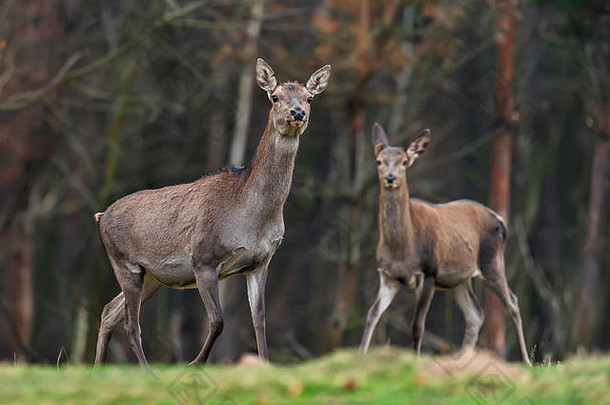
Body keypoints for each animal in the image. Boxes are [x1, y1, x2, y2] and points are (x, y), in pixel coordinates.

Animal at [93, 58, 330, 364]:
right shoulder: (204, 259)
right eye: (275, 96)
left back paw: (98, 367)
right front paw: (194, 364)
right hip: (125, 263)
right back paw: (146, 370)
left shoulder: (261, 262)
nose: (297, 112)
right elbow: (218, 321)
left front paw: (264, 363)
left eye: (310, 97)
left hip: (152, 276)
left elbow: (259, 320)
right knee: (131, 325)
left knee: (109, 311)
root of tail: (100, 217)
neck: (252, 218)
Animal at [356, 121, 528, 364]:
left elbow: (418, 325)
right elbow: (372, 314)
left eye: (404, 162)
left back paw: (527, 360)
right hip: (458, 278)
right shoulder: (388, 275)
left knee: (512, 302)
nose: (390, 178)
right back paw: (461, 358)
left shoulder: (429, 272)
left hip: (492, 262)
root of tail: (500, 221)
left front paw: (415, 358)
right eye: (379, 161)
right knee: (476, 313)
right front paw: (359, 355)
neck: (402, 249)